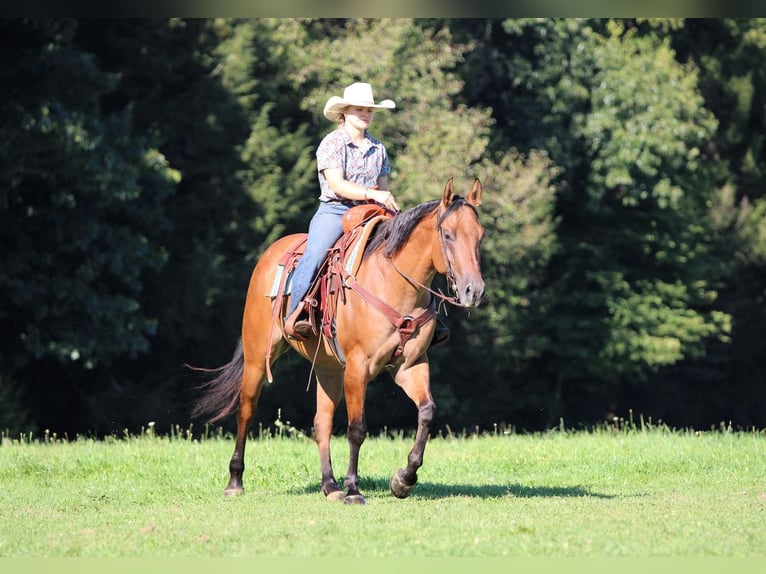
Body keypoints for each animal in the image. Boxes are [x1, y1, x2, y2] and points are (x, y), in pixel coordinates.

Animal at [192, 177, 485, 504]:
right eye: (447, 234)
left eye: (480, 236)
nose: (474, 291)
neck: (392, 284)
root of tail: (270, 255)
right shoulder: (357, 369)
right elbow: (357, 429)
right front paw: (354, 490)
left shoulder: (411, 366)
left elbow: (427, 412)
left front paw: (403, 480)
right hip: (257, 358)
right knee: (246, 410)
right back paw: (235, 481)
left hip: (327, 367)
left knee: (322, 423)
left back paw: (330, 486)